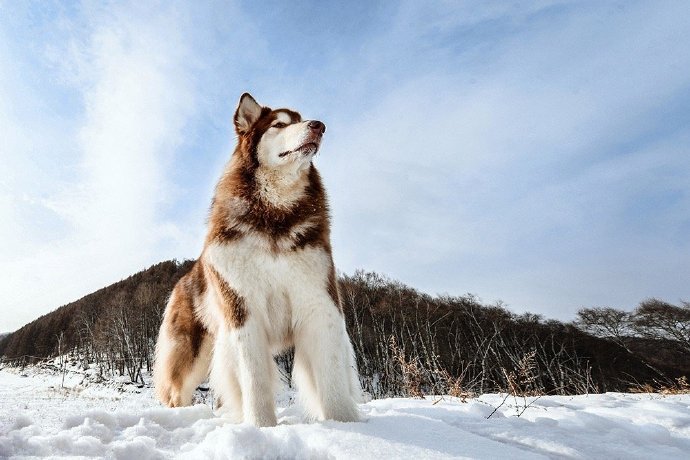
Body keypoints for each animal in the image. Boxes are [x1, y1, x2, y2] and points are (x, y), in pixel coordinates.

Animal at [154, 91, 362, 426]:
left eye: (303, 119)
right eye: (279, 124)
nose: (319, 126)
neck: (273, 216)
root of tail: (184, 278)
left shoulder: (319, 301)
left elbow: (331, 378)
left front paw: (343, 425)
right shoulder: (243, 311)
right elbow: (255, 380)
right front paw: (261, 426)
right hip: (192, 352)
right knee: (176, 393)